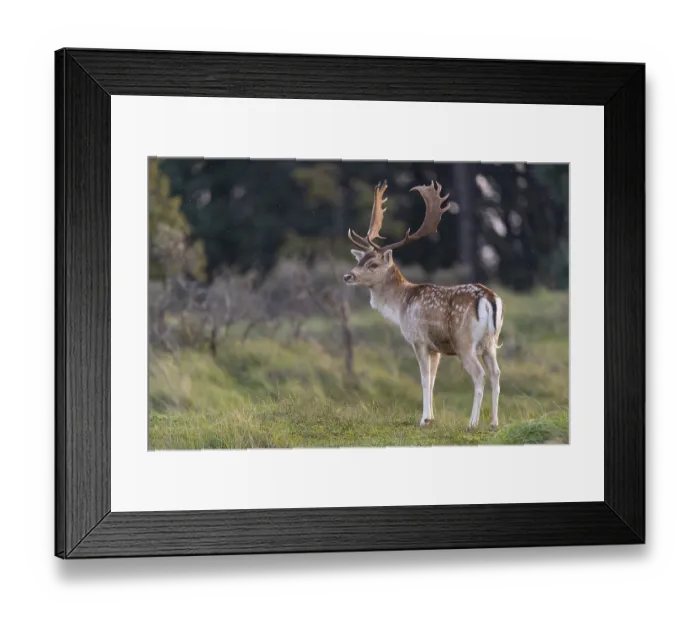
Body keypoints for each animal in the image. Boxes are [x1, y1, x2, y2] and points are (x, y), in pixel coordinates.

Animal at [344, 180, 504, 431]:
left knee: (479, 375)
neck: (401, 305)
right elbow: (433, 380)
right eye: (360, 261)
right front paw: (431, 417)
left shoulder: (418, 340)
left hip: (464, 341)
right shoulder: (436, 348)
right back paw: (494, 423)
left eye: (373, 264)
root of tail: (488, 297)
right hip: (490, 342)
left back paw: (472, 423)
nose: (347, 276)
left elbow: (424, 379)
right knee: (496, 373)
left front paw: (423, 419)